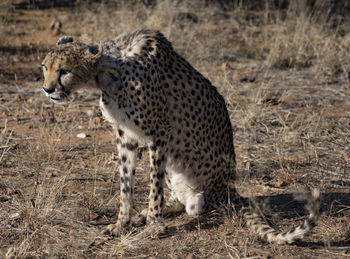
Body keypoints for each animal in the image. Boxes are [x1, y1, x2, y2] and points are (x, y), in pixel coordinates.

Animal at [41, 29, 320, 245]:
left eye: (64, 70)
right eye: (45, 67)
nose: (47, 89)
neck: (107, 73)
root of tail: (230, 188)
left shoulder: (159, 132)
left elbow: (154, 186)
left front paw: (154, 225)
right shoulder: (125, 136)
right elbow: (126, 184)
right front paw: (123, 223)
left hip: (201, 183)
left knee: (194, 208)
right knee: (178, 200)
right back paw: (147, 212)